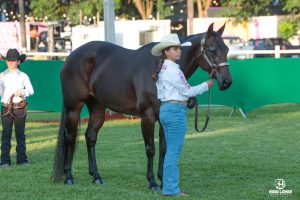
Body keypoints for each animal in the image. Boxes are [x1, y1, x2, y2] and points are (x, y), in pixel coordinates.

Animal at [51, 23, 232, 189]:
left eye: (227, 49)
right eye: (212, 50)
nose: (226, 82)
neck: (159, 69)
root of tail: (71, 56)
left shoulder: (163, 116)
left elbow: (164, 148)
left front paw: (162, 179)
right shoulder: (148, 116)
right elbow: (150, 148)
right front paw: (152, 182)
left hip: (97, 107)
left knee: (90, 137)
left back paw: (96, 176)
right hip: (73, 107)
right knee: (69, 138)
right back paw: (69, 177)